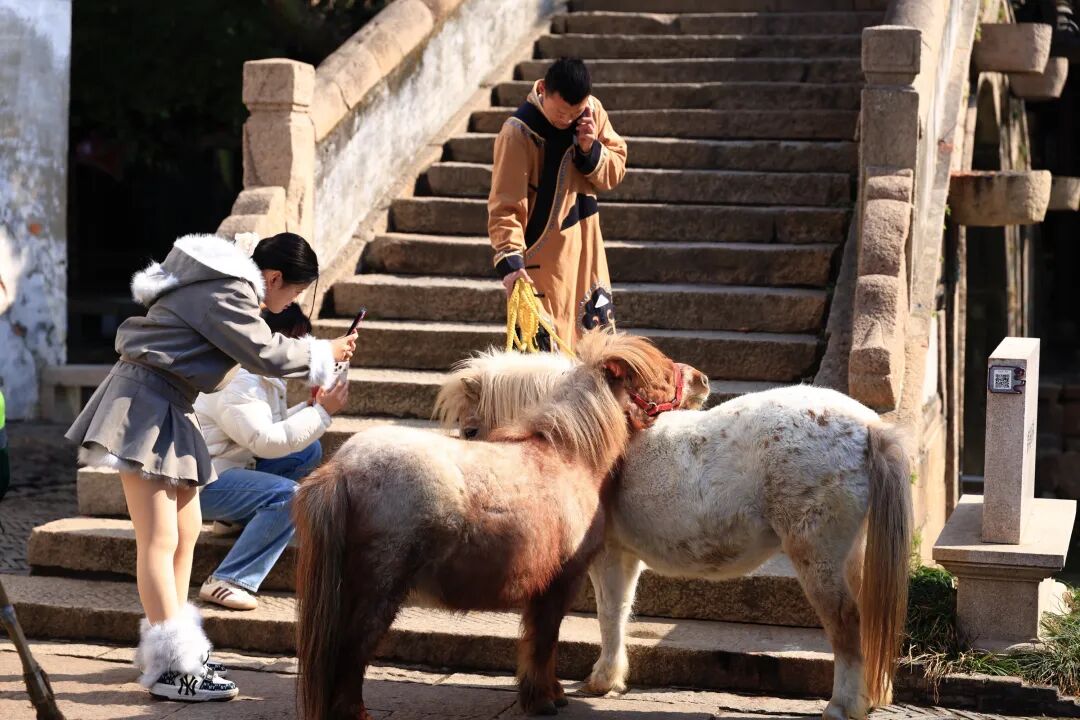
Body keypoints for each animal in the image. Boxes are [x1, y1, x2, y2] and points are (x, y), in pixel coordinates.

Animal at [293, 330, 696, 720]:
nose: (700, 380)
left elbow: (538, 642)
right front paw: (542, 700)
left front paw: (550, 693)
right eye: (659, 376)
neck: (569, 457)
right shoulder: (561, 581)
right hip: (378, 591)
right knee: (352, 653)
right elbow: (545, 640)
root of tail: (341, 468)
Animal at [444, 369, 913, 720]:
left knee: (845, 623)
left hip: (816, 555)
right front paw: (609, 679)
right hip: (848, 555)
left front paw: (600, 680)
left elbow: (607, 613)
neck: (582, 438)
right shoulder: (624, 555)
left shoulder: (604, 555)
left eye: (470, 429)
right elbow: (619, 612)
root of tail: (868, 426)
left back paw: (841, 706)